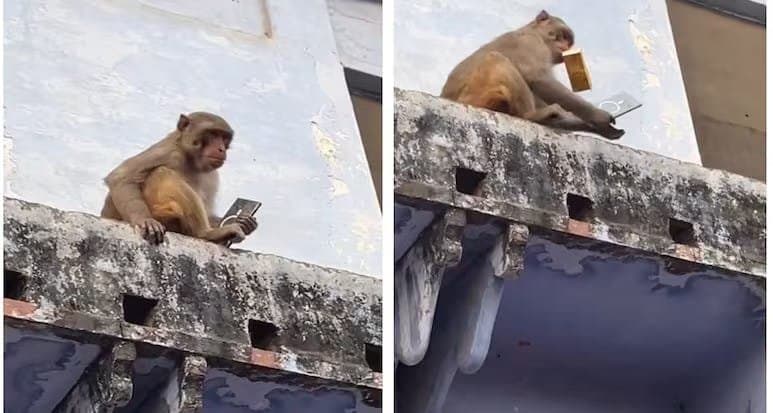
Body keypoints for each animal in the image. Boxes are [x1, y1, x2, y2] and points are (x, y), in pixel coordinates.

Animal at [100, 112, 258, 245]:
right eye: (213, 134)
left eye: (224, 137)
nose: (221, 149)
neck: (191, 159)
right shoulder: (167, 151)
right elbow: (121, 177)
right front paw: (144, 220)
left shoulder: (212, 175)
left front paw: (245, 223)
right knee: (161, 172)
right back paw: (206, 234)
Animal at [441, 10, 625, 140]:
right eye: (562, 36)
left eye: (568, 41)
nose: (565, 47)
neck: (535, 33)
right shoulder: (531, 43)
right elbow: (537, 78)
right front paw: (599, 117)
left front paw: (592, 125)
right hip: (474, 96)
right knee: (497, 59)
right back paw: (530, 116)